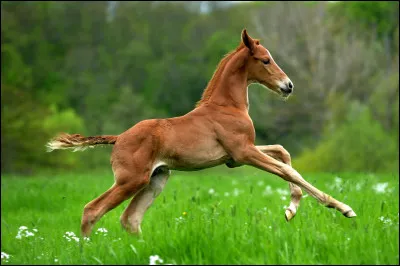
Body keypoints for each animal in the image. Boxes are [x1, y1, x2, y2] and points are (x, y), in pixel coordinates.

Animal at [47, 29, 356, 237]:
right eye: (265, 60)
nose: (288, 86)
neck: (227, 106)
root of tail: (119, 138)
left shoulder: (236, 156)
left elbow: (283, 152)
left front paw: (291, 210)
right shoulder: (244, 152)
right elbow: (287, 170)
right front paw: (341, 207)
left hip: (156, 179)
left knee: (130, 219)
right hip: (130, 180)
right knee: (92, 210)